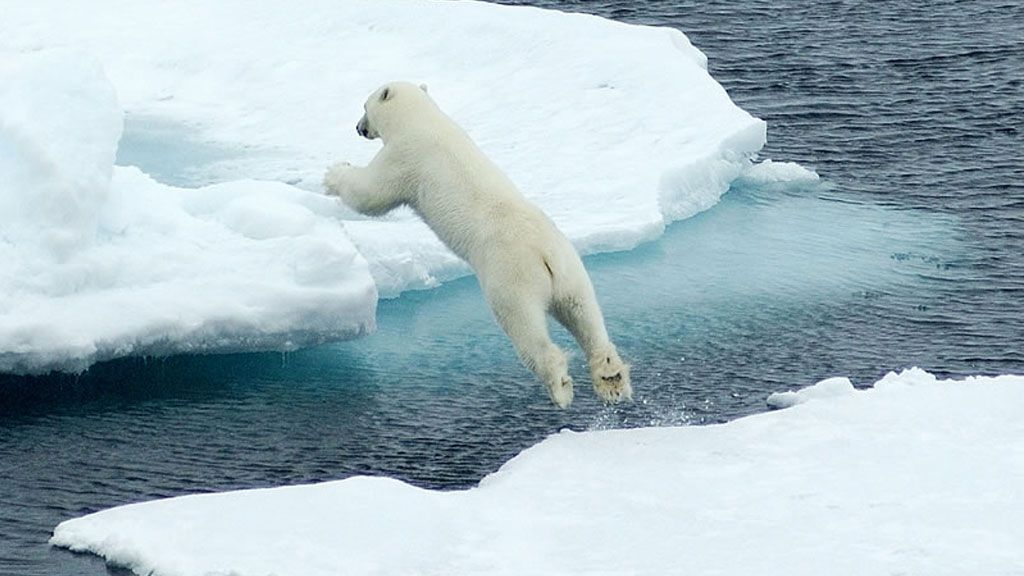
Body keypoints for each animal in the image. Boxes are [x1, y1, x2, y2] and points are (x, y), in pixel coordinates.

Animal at [323, 80, 630, 407]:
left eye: (364, 107)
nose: (359, 127)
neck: (421, 119)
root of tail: (545, 257)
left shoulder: (405, 158)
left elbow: (370, 194)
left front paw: (334, 172)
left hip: (509, 277)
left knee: (525, 327)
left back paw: (559, 385)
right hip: (572, 271)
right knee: (585, 315)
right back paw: (611, 378)